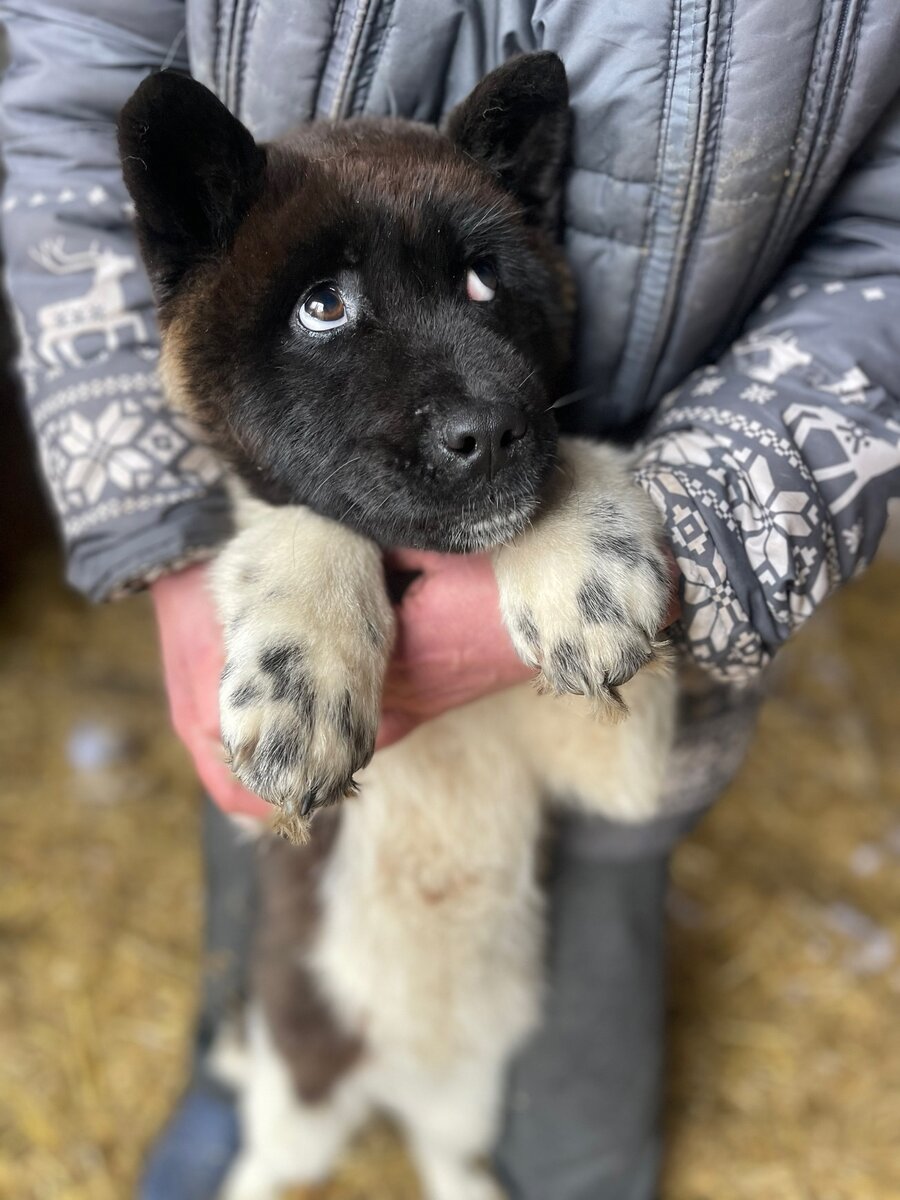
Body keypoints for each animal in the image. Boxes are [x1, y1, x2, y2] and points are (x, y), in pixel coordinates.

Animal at [123, 56, 681, 1200]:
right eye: (323, 307)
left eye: (483, 283)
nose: (491, 434)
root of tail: (384, 1086)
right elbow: (305, 513)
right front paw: (304, 672)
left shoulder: (617, 769)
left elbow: (574, 457)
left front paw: (585, 563)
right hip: (299, 1074)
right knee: (271, 1161)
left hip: (465, 1094)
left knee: (449, 1160)